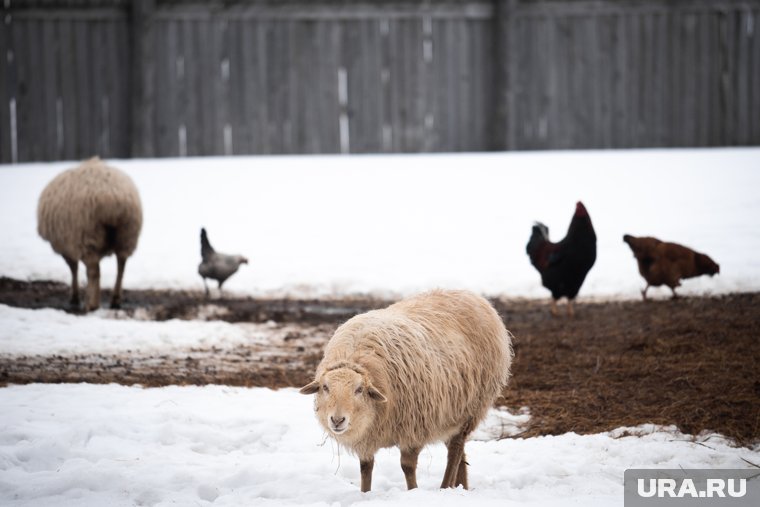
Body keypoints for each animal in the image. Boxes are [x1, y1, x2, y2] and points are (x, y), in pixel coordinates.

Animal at [37, 157, 143, 312]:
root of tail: (113, 198)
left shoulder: (67, 245)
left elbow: (73, 269)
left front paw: (74, 297)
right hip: (127, 235)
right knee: (121, 266)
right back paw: (115, 299)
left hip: (87, 236)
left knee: (94, 271)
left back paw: (92, 304)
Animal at [300, 290, 512, 492]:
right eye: (325, 387)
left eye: (359, 389)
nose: (337, 420)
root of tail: (474, 296)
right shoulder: (369, 438)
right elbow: (366, 468)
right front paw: (365, 494)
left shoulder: (414, 427)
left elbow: (407, 466)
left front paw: (413, 492)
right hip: (448, 412)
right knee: (459, 452)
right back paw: (461, 488)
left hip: (471, 409)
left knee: (455, 449)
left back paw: (445, 487)